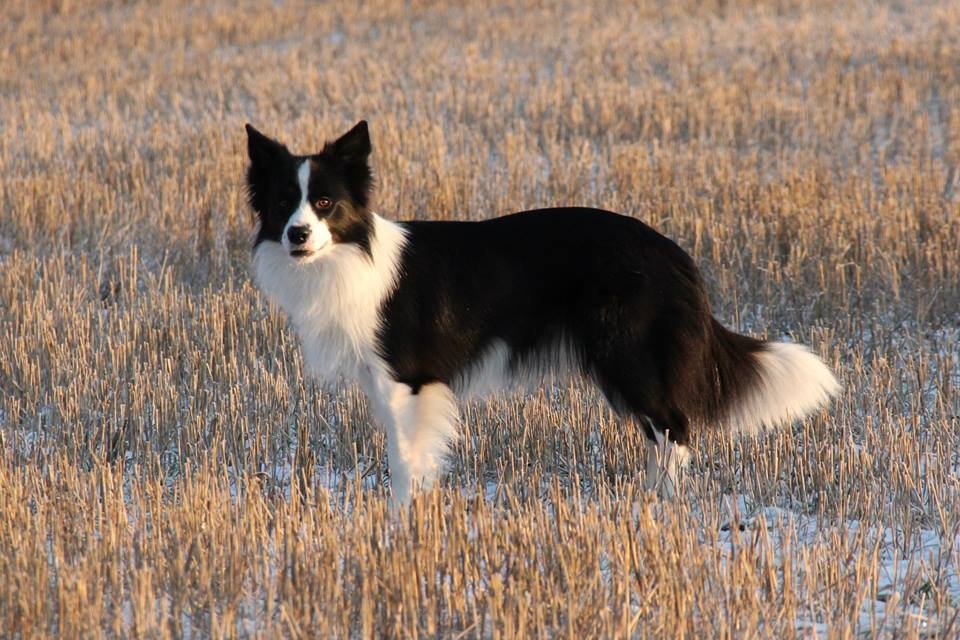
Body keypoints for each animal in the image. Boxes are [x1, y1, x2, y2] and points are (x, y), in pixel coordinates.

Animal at [244, 120, 840, 504]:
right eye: (283, 205)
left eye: (325, 203)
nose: (297, 235)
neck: (351, 253)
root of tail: (673, 253)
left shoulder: (406, 381)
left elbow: (405, 461)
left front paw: (400, 524)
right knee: (660, 434)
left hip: (628, 356)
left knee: (675, 427)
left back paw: (660, 508)